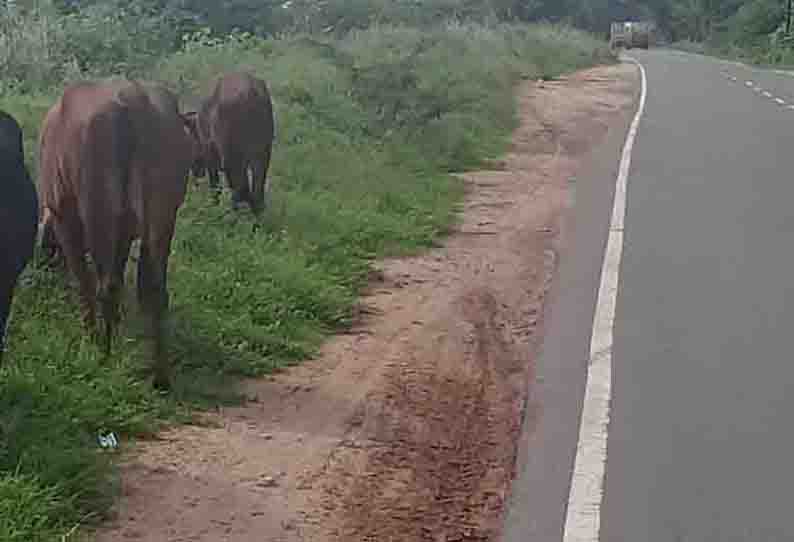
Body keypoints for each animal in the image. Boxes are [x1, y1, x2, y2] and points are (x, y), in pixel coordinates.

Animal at [38, 78, 196, 388]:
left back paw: (105, 355)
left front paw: (90, 339)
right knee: (155, 290)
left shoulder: (66, 221)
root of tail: (132, 97)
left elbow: (83, 282)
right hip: (162, 213)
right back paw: (161, 375)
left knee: (105, 287)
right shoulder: (125, 232)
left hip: (98, 211)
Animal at [186, 71, 276, 216]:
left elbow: (216, 187)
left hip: (233, 158)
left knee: (240, 189)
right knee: (256, 192)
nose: (195, 172)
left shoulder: (211, 155)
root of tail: (251, 91)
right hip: (262, 153)